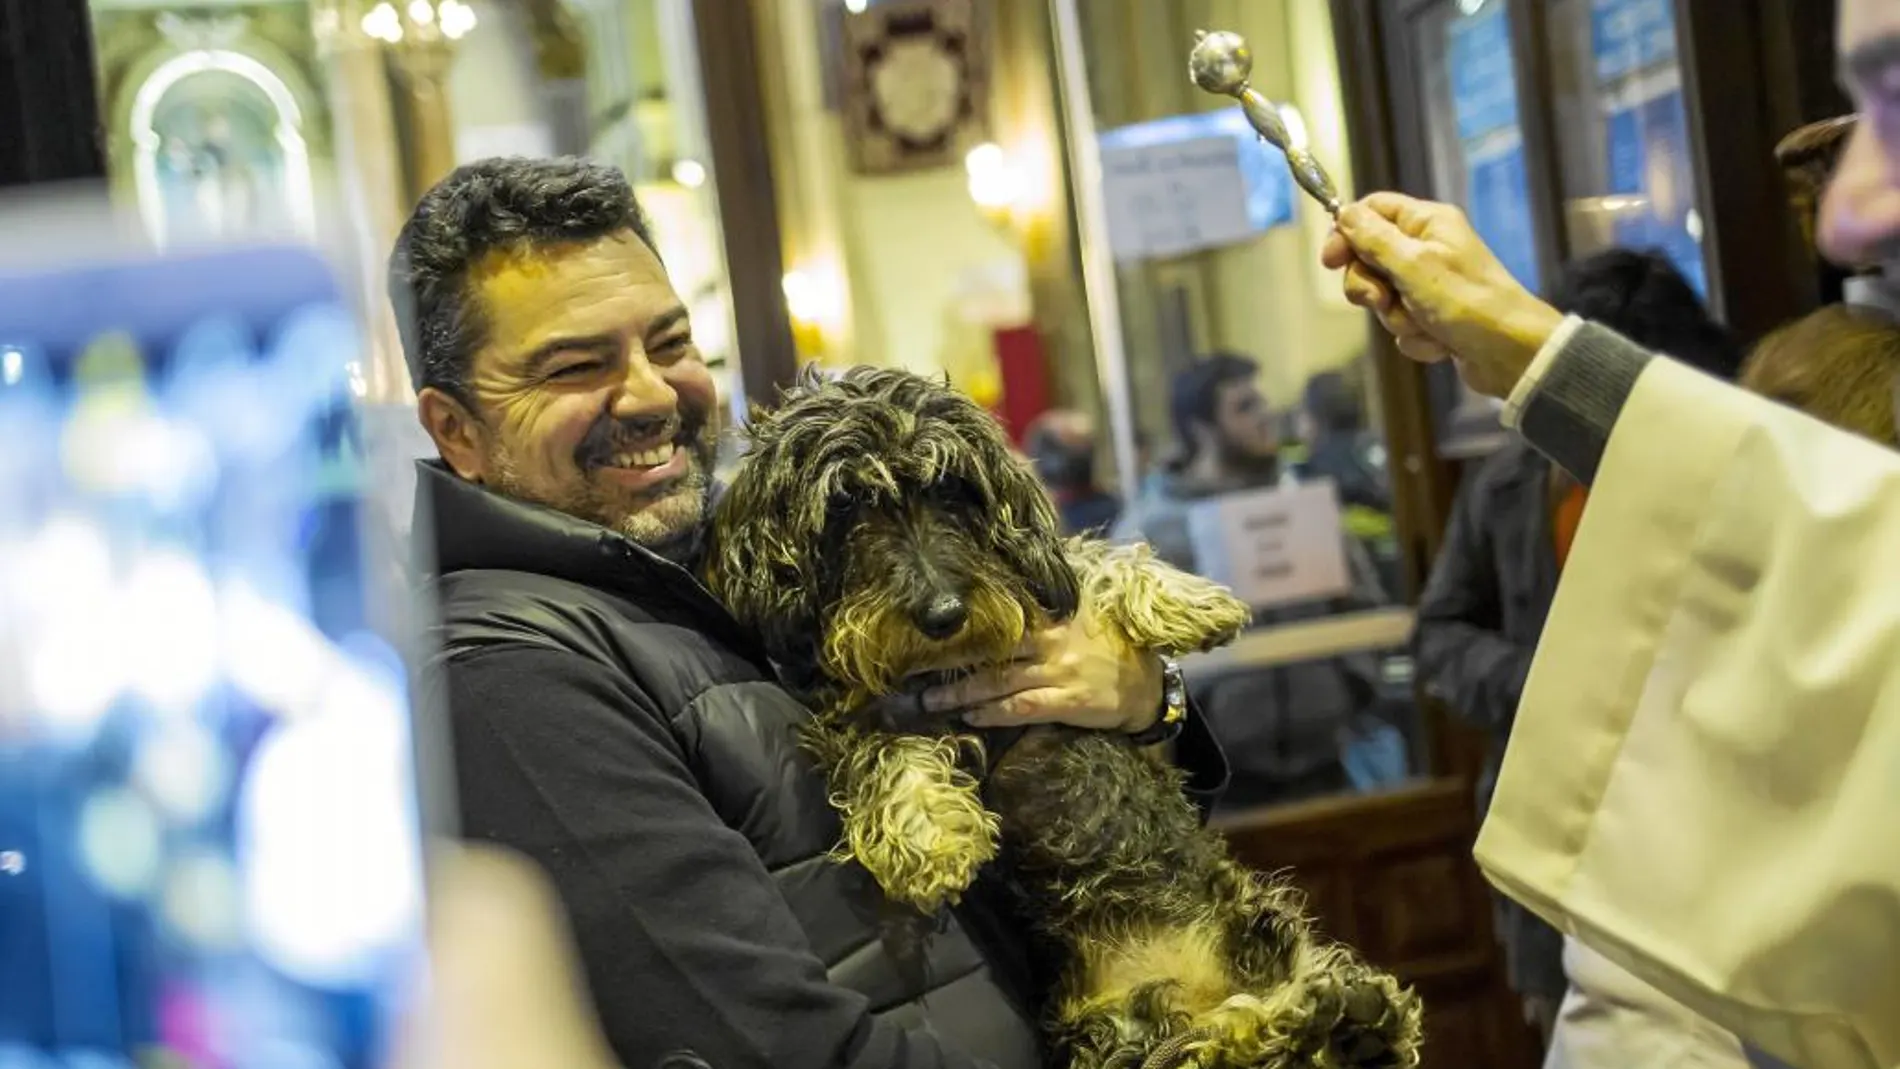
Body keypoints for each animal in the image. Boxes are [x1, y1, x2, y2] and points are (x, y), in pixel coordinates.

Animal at [706, 368, 1421, 1069]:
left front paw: (1190, 601)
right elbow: (885, 754)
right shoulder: (855, 713)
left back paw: (1359, 1022)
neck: (949, 664)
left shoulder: (1045, 589)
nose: (943, 614)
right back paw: (1314, 1025)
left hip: (1263, 927)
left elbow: (1090, 557)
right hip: (1117, 1030)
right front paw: (930, 837)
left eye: (950, 490)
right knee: (1212, 1047)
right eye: (846, 505)